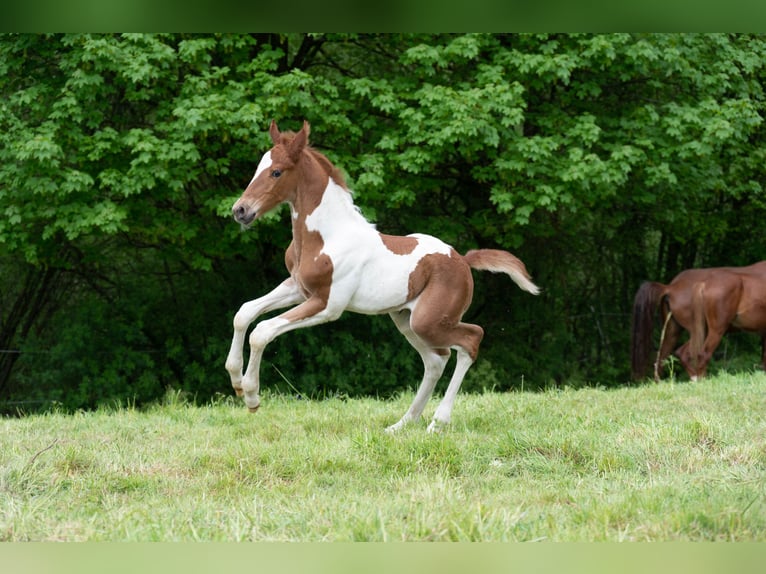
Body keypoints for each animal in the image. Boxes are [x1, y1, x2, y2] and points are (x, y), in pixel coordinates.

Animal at [225, 120, 544, 432]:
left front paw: (251, 396)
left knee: (470, 340)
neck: (327, 236)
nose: (240, 210)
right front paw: (237, 381)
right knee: (436, 360)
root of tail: (463, 260)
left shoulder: (327, 305)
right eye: (258, 167)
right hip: (407, 321)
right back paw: (402, 424)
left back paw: (437, 422)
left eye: (276, 172)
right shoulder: (296, 287)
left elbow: (262, 331)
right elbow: (244, 313)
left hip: (428, 321)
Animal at [632, 264, 766, 382]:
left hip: (674, 332)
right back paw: (700, 379)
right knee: (699, 354)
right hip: (711, 330)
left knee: (662, 358)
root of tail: (671, 287)